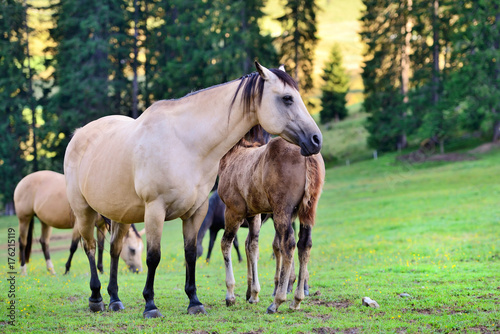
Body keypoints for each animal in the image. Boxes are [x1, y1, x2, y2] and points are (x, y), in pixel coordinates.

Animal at [14, 171, 144, 276]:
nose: (139, 271)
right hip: (24, 218)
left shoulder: (101, 226)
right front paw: (67, 270)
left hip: (44, 221)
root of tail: (23, 181)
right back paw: (23, 270)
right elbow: (73, 247)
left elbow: (101, 247)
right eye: (132, 250)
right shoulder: (79, 225)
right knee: (23, 243)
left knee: (44, 242)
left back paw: (51, 270)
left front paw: (101, 270)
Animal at [218, 126, 326, 314]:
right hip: (307, 210)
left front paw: (230, 295)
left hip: (282, 210)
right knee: (304, 244)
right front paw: (253, 294)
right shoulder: (254, 214)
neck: (233, 154)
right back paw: (296, 300)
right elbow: (252, 247)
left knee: (288, 245)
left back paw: (278, 300)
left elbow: (226, 244)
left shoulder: (233, 211)